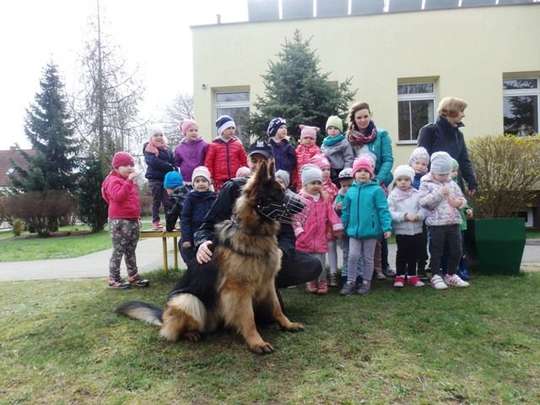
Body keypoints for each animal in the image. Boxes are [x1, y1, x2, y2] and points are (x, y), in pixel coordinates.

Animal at [116, 159, 306, 352]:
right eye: (278, 193)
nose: (304, 204)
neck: (253, 232)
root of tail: (163, 315)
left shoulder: (267, 282)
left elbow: (277, 308)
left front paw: (287, 324)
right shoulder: (238, 291)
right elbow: (249, 318)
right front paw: (256, 342)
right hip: (186, 300)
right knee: (176, 330)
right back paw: (191, 334)